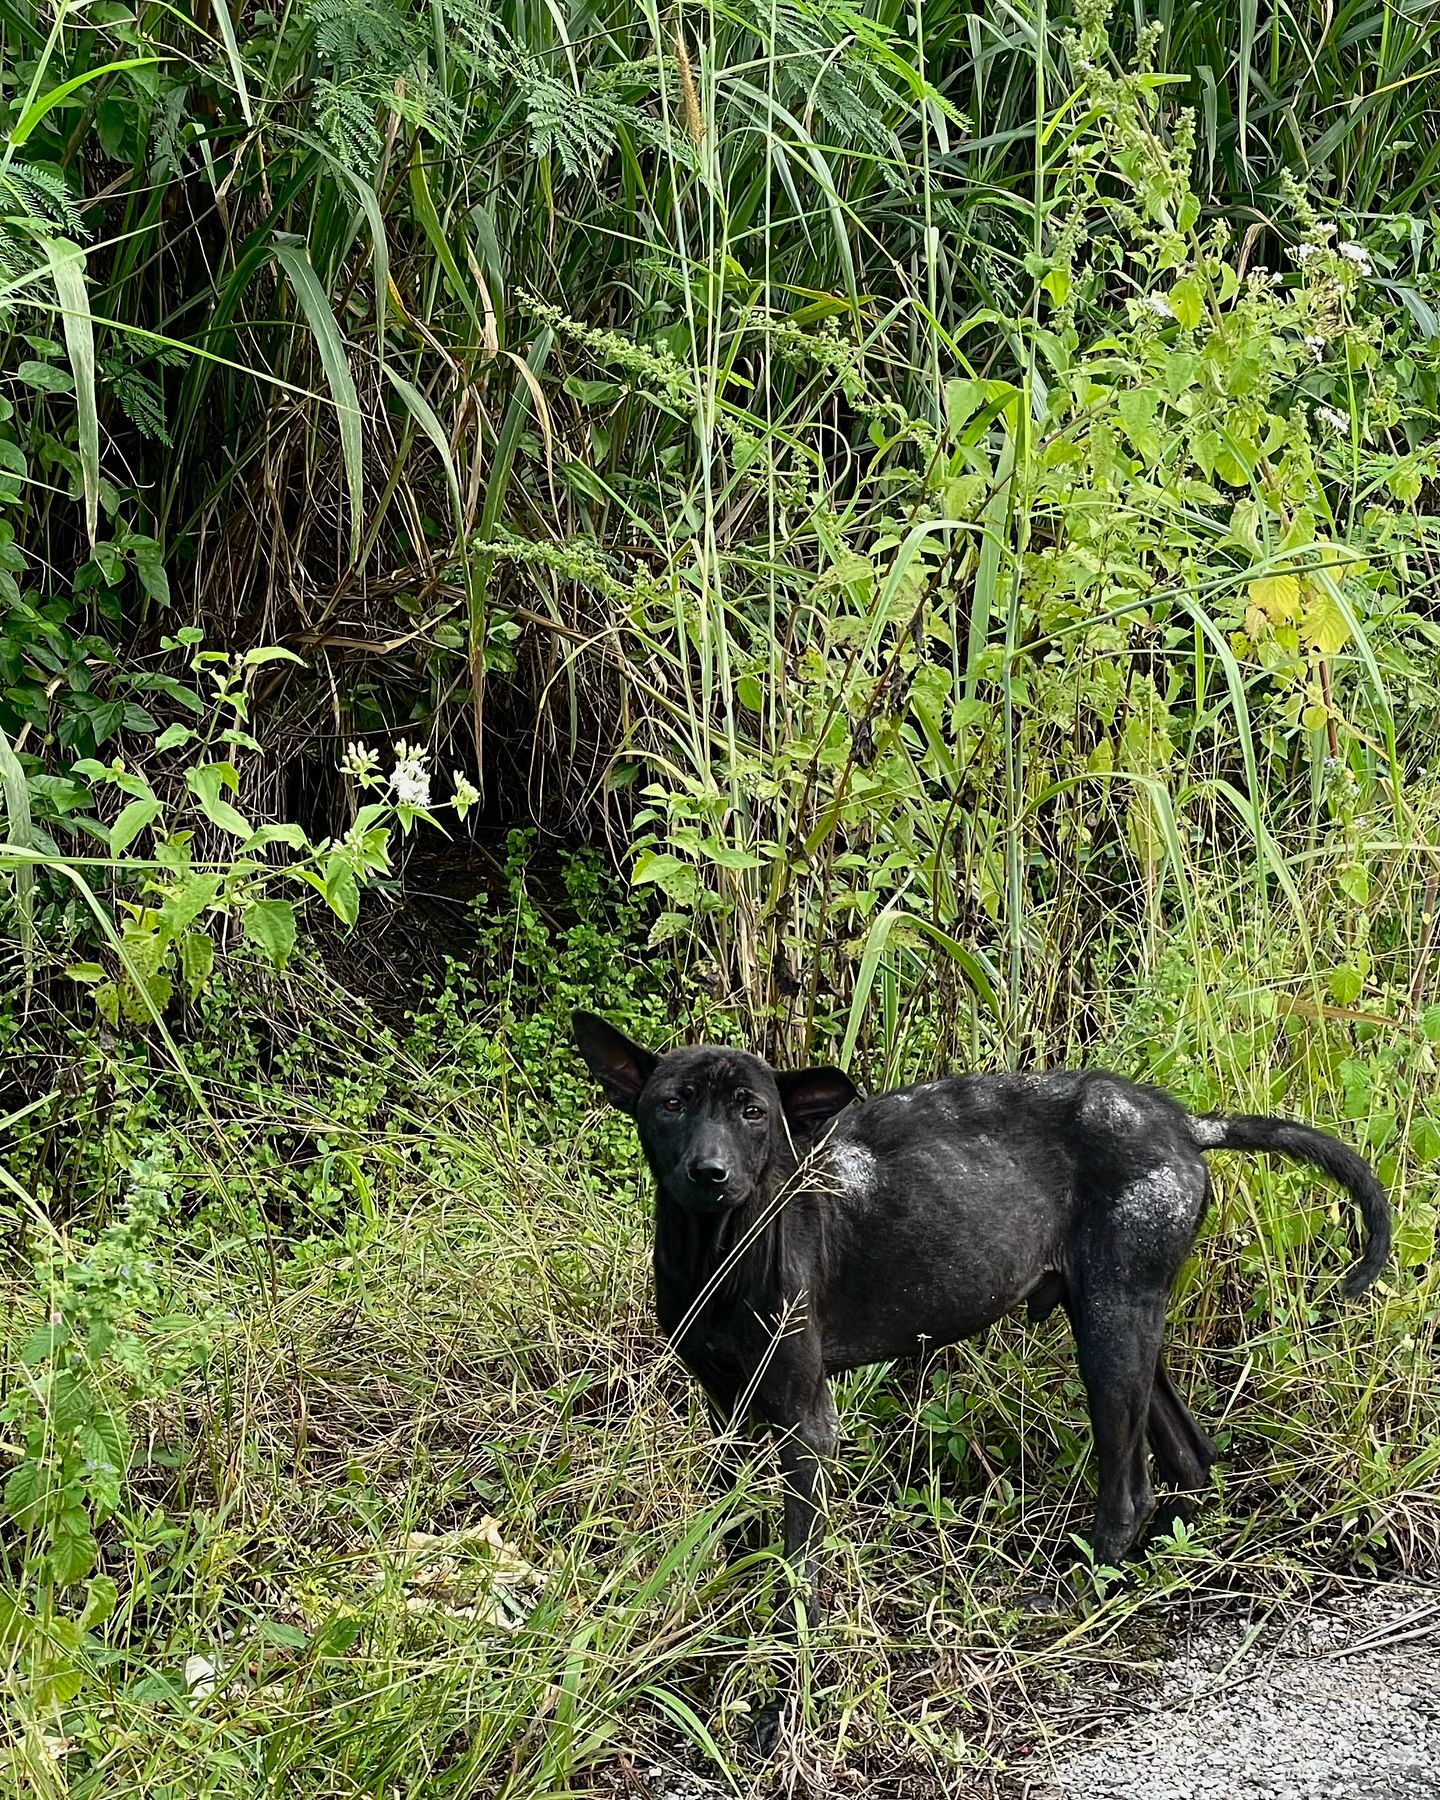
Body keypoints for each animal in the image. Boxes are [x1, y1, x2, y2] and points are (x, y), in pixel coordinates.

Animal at [572, 1015, 1382, 1699]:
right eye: (671, 1105)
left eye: (753, 1112)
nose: (709, 1173)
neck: (717, 1249)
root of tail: (1180, 1120)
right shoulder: (729, 1412)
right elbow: (738, 1534)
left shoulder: (808, 1421)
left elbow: (798, 1569)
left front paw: (781, 1685)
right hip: (1120, 1322)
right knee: (1189, 1456)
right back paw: (1166, 1571)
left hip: (1112, 1331)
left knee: (1129, 1493)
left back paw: (1071, 1602)